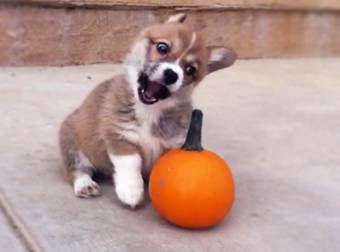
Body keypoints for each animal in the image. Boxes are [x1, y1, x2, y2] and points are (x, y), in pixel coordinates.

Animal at [58, 12, 236, 208]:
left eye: (190, 70)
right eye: (162, 47)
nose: (171, 75)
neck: (149, 110)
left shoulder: (171, 146)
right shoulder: (119, 136)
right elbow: (131, 163)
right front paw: (131, 191)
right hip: (71, 141)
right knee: (77, 169)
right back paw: (85, 184)